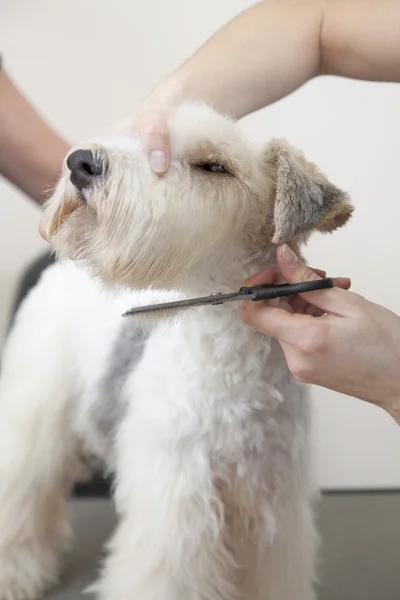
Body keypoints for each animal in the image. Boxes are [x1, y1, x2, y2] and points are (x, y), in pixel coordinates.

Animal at [0, 103, 354, 600]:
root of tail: (61, 272)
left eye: (215, 166)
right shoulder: (177, 502)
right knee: (21, 496)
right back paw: (14, 572)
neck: (229, 361)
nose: (81, 163)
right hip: (33, 419)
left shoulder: (273, 501)